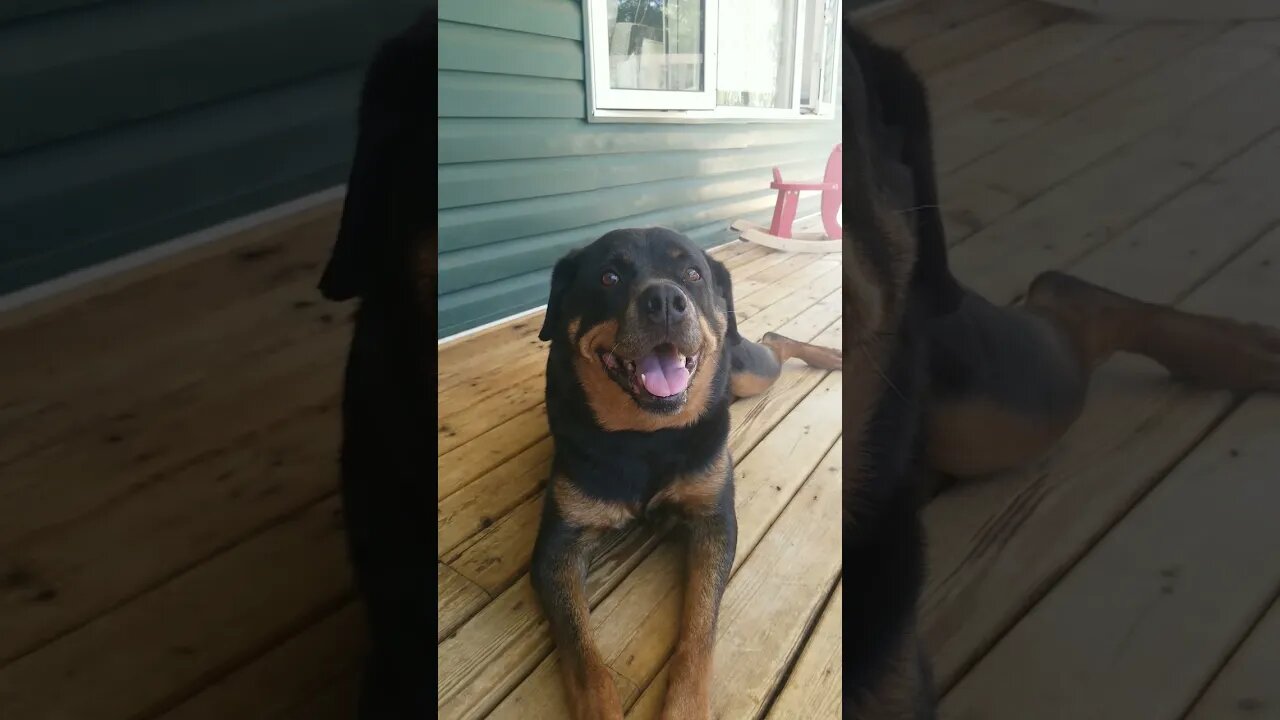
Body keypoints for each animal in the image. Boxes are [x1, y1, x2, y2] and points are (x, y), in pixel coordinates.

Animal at [532, 225, 844, 717]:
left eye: (693, 274)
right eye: (609, 277)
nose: (664, 299)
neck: (648, 436)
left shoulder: (713, 522)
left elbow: (699, 629)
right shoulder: (556, 549)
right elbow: (584, 659)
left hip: (749, 371)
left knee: (774, 341)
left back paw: (830, 356)